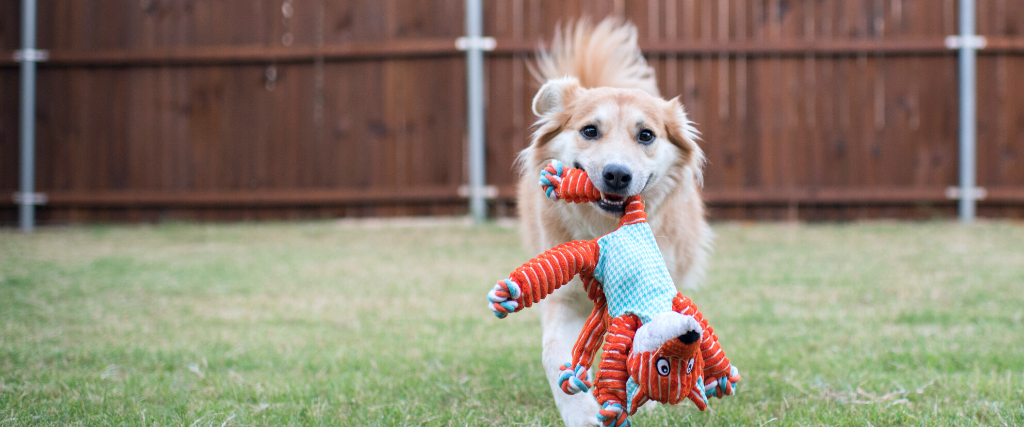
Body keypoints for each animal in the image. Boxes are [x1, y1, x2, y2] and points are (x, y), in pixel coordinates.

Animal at [520, 17, 712, 425]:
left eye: (646, 135)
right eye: (590, 130)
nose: (617, 174)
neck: (609, 229)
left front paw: (651, 394)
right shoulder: (563, 294)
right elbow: (553, 352)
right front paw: (581, 413)